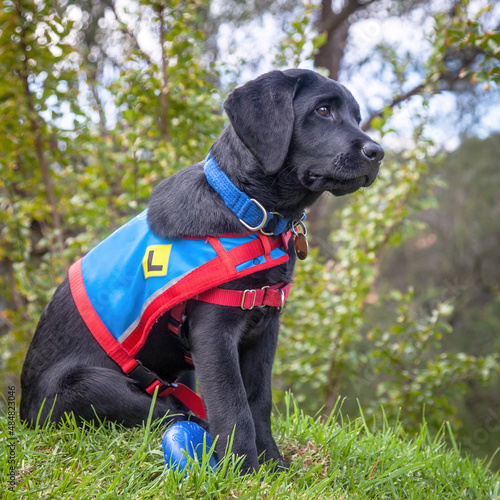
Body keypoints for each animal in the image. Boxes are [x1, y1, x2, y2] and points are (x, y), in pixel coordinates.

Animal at [19, 68, 382, 470]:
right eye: (322, 110)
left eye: (356, 117)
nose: (377, 153)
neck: (249, 212)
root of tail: (22, 410)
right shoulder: (214, 331)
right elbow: (233, 404)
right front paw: (243, 468)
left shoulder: (265, 328)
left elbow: (259, 400)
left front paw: (272, 464)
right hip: (90, 385)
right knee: (170, 411)